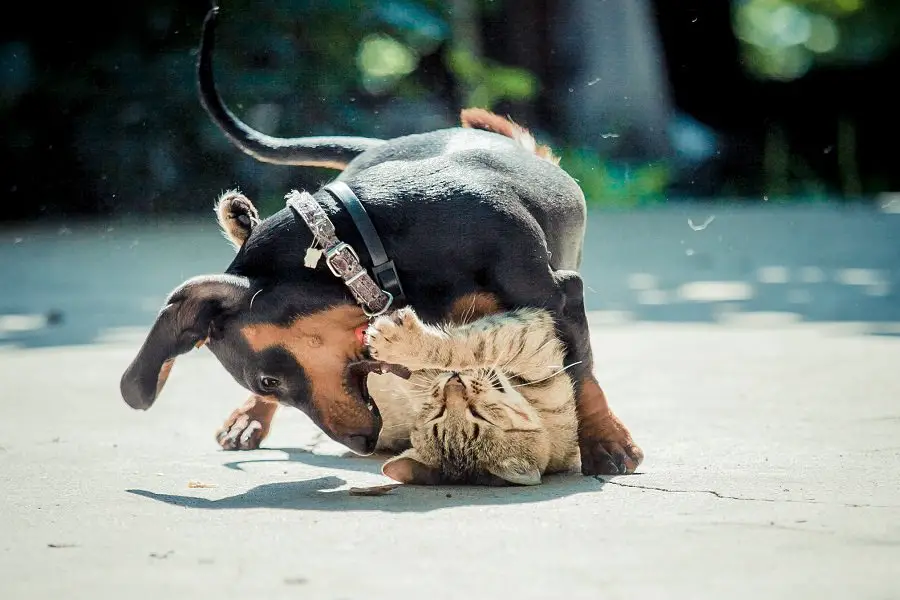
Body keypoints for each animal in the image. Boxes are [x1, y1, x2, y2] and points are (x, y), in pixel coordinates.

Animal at [362, 308, 580, 486]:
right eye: (438, 413)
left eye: (478, 414)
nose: (454, 381)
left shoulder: (530, 341)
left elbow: (469, 349)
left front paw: (404, 343)